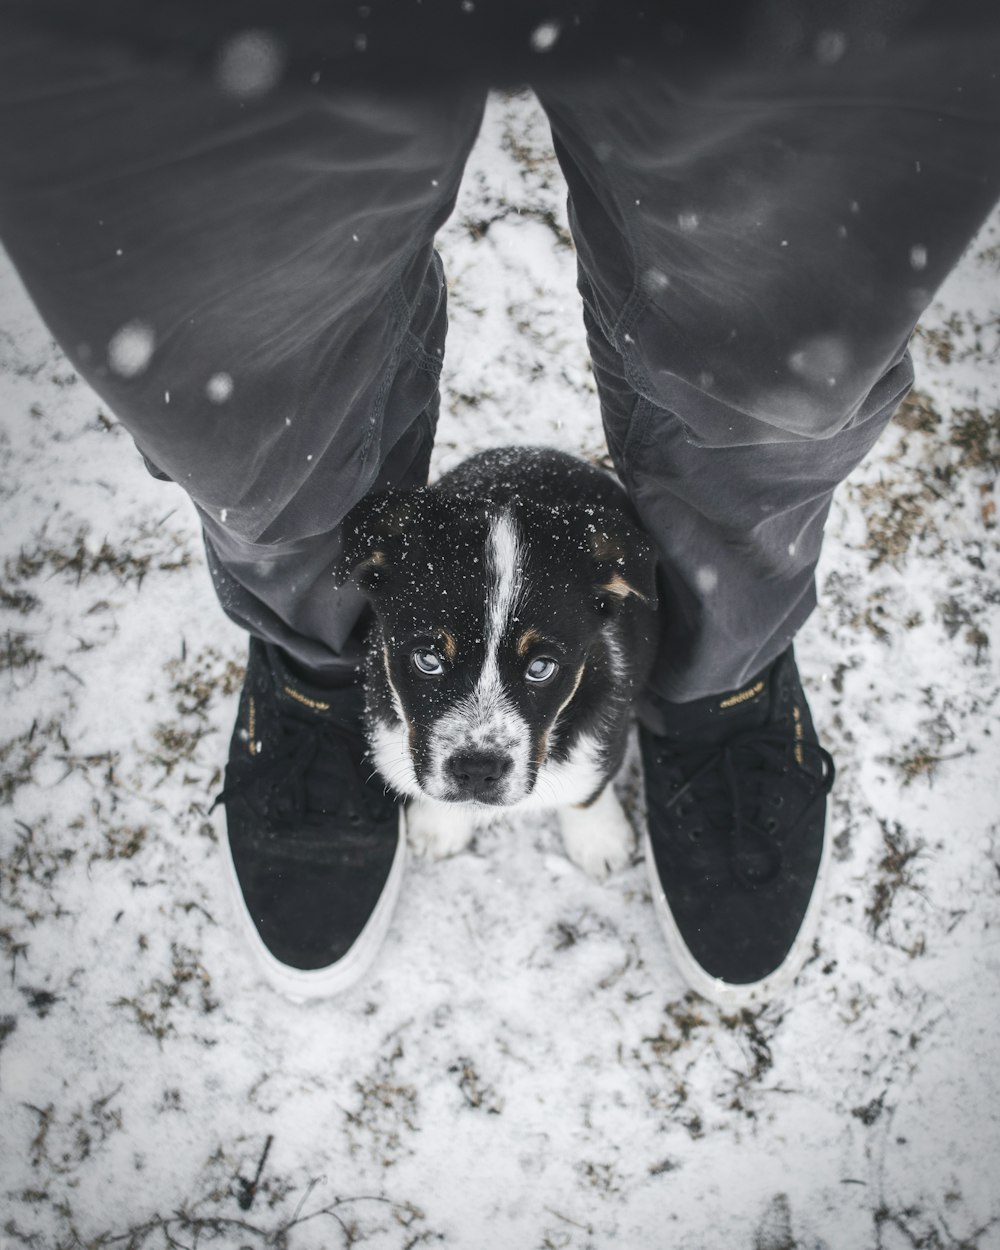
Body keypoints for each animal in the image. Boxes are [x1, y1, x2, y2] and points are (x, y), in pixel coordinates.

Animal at [340, 450, 660, 880]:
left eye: (541, 667)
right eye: (427, 659)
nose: (477, 770)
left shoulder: (609, 717)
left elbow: (590, 786)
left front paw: (600, 841)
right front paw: (438, 827)